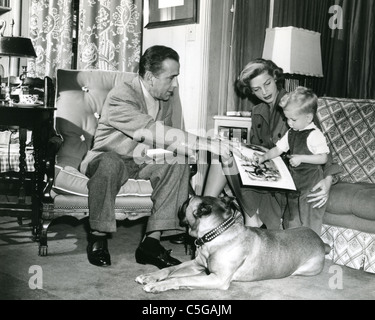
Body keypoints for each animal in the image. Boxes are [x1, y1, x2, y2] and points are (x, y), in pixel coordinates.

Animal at [135, 195, 326, 292]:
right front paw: (150, 276)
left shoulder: (217, 278)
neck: (217, 234)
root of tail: (320, 240)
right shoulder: (196, 264)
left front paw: (157, 285)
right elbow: (170, 270)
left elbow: (181, 278)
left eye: (188, 201)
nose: (183, 201)